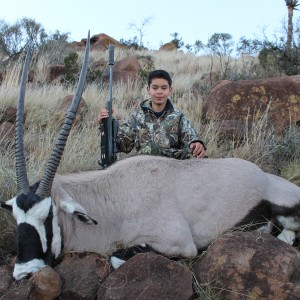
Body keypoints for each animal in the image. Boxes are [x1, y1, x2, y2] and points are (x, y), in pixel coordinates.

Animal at [0, 34, 300, 280]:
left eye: (48, 216)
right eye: (16, 217)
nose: (25, 272)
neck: (112, 198)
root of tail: (264, 176)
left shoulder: (179, 243)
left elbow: (117, 258)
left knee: (287, 235)